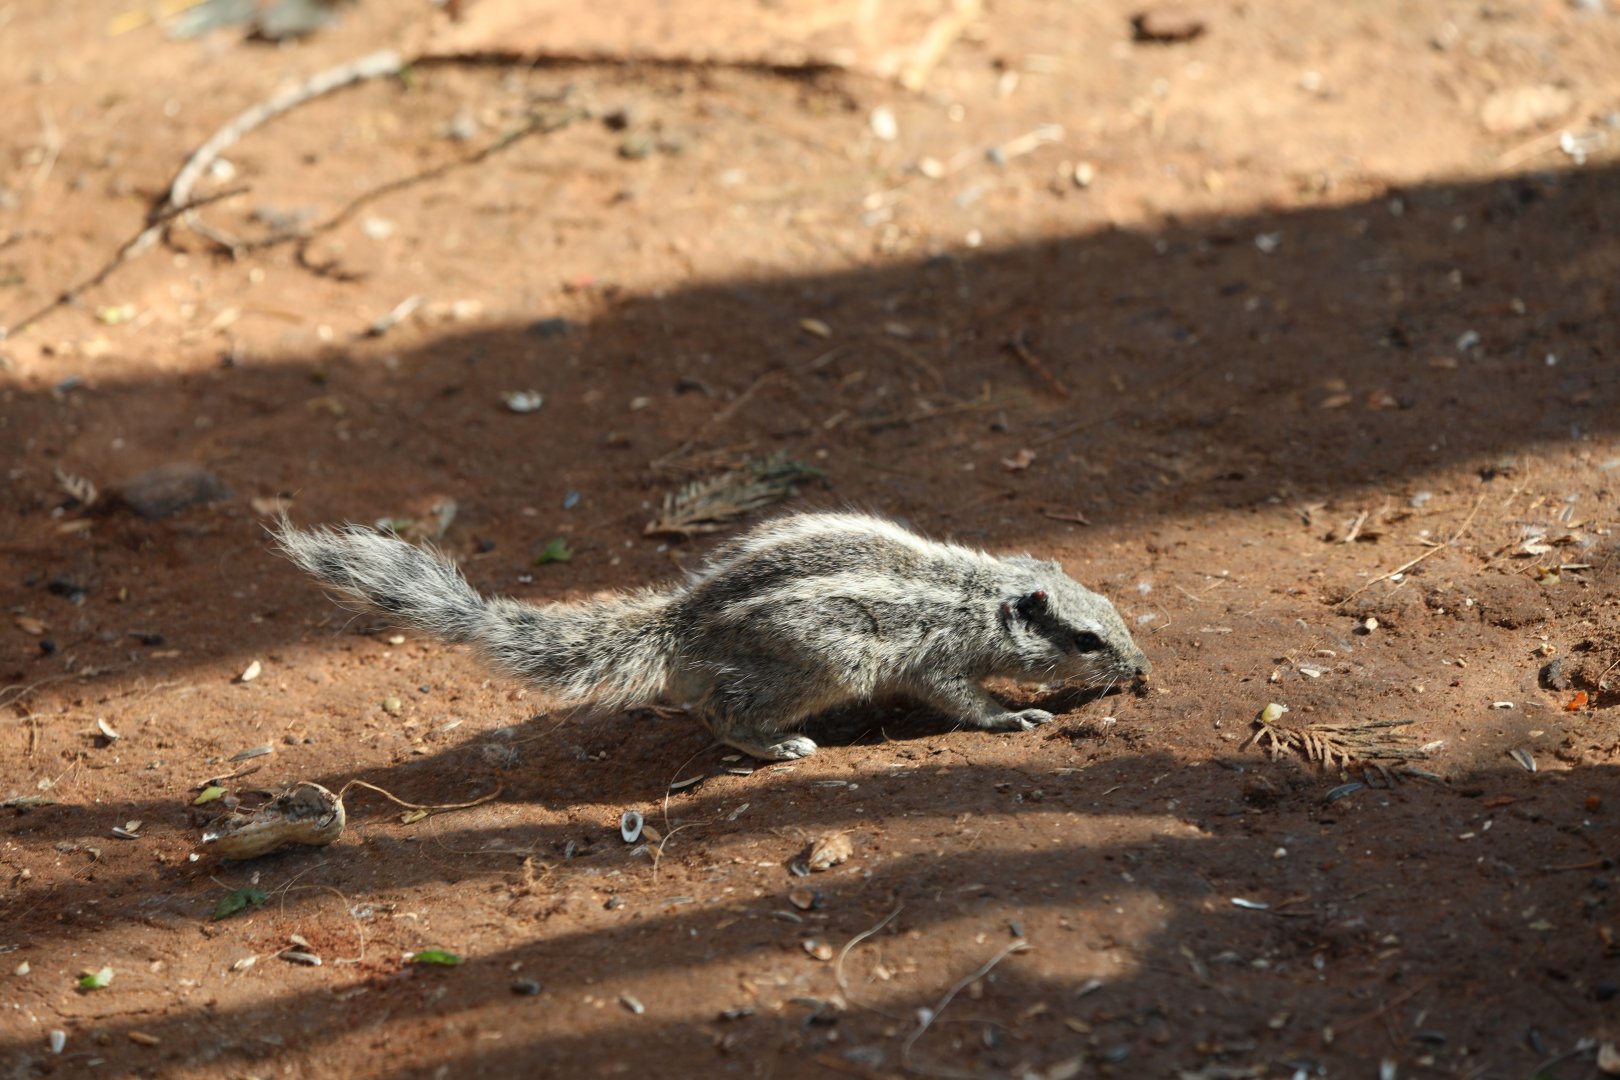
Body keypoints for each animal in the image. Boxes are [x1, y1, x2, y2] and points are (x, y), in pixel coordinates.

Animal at [273, 512, 1151, 761]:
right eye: (1086, 640)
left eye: (1112, 609)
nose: (1142, 669)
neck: (976, 594)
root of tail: (680, 623)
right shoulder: (935, 660)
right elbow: (964, 701)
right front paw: (1016, 714)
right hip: (823, 663)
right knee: (720, 713)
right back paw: (778, 746)